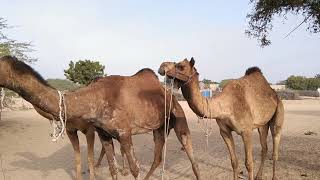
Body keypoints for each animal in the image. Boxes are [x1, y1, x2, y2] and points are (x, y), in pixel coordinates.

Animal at [0, 55, 200, 180]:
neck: (95, 99)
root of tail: (169, 94)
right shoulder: (103, 133)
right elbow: (112, 169)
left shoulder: (124, 133)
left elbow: (135, 169)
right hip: (159, 127)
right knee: (157, 157)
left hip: (178, 117)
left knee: (190, 154)